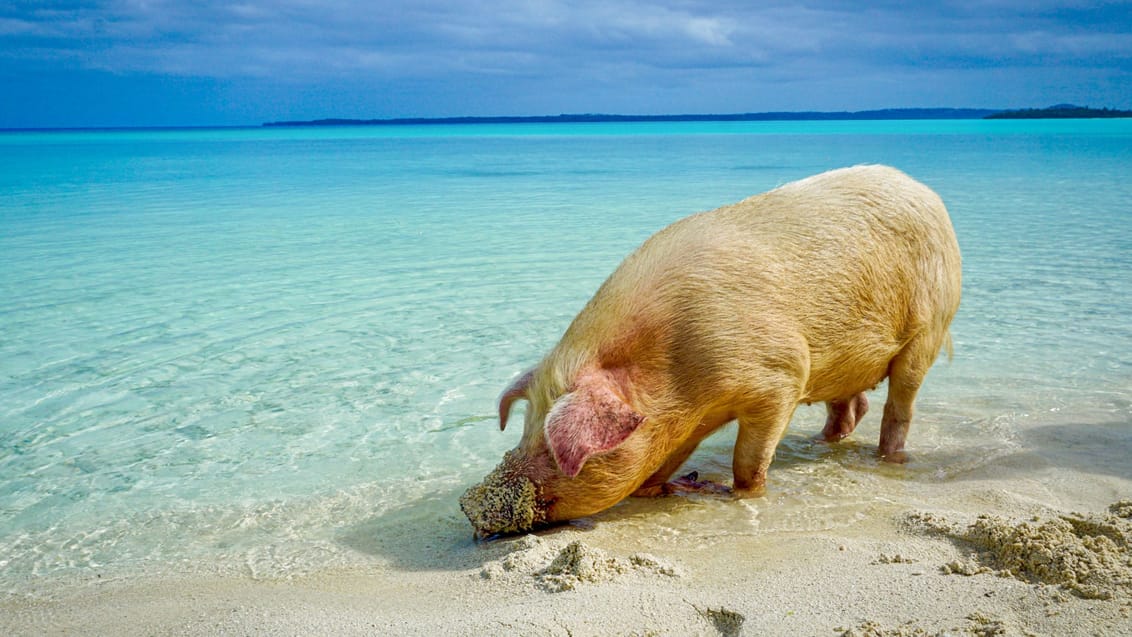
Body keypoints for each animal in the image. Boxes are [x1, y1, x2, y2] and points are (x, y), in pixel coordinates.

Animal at [459, 166, 964, 538]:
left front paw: (733, 492)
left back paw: (888, 459)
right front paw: (680, 484)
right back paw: (822, 444)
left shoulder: (782, 374)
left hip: (929, 329)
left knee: (899, 406)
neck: (677, 374)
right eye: (525, 428)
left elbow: (749, 463)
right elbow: (660, 467)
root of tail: (928, 193)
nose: (470, 504)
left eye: (549, 439)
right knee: (850, 407)